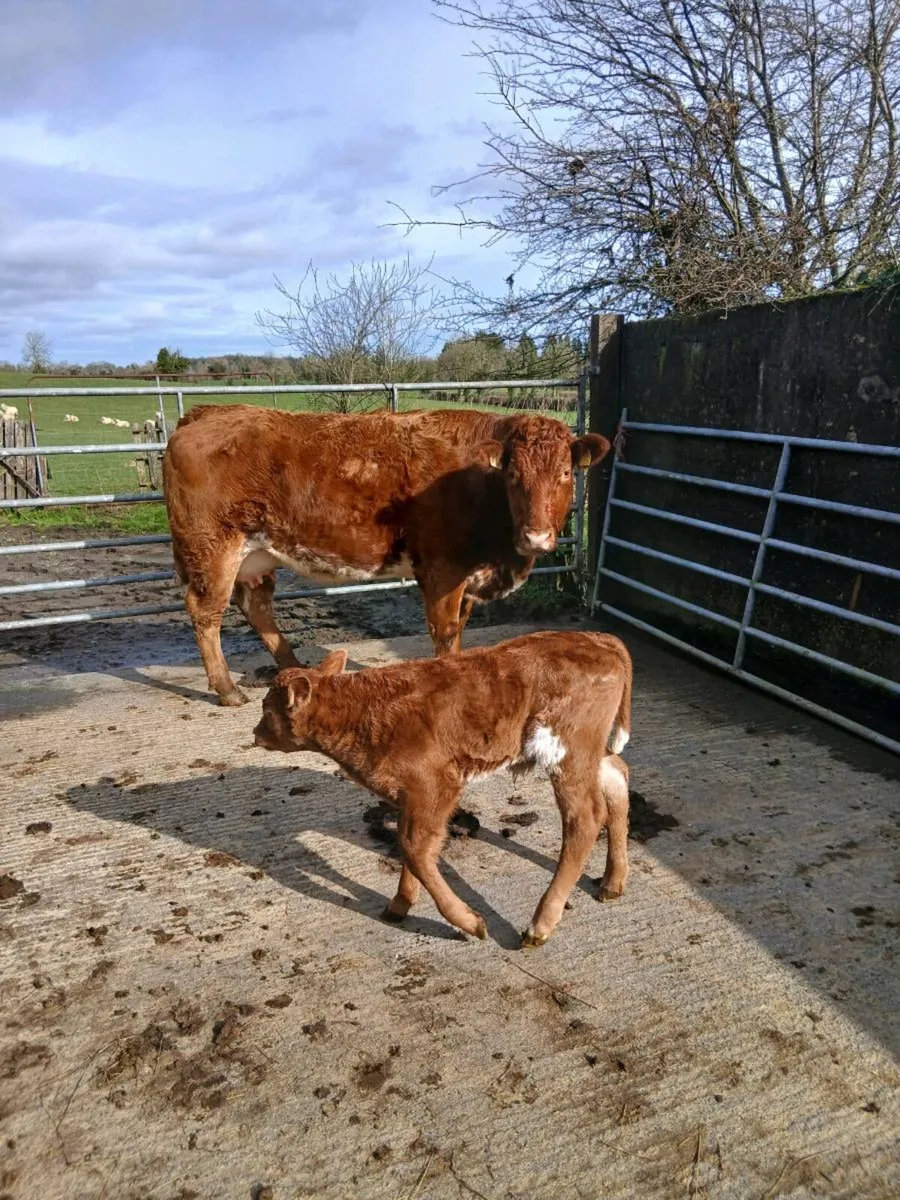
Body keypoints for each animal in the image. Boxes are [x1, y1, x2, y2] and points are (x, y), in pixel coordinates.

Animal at [163, 405, 610, 706]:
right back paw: (227, 689)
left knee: (257, 607)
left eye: (565, 474)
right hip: (213, 549)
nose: (537, 537)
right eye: (514, 475)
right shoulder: (443, 571)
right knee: (206, 613)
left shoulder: (468, 576)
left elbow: (458, 633)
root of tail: (209, 412)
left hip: (255, 556)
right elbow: (445, 635)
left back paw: (296, 668)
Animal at [253, 630, 632, 945]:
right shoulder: (411, 794)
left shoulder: (435, 784)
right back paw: (613, 882)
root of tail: (597, 638)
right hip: (591, 749)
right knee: (617, 778)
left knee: (585, 818)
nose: (255, 733)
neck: (359, 711)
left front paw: (469, 922)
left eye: (266, 709)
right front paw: (400, 904)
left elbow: (415, 850)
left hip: (568, 748)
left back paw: (540, 925)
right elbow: (409, 847)